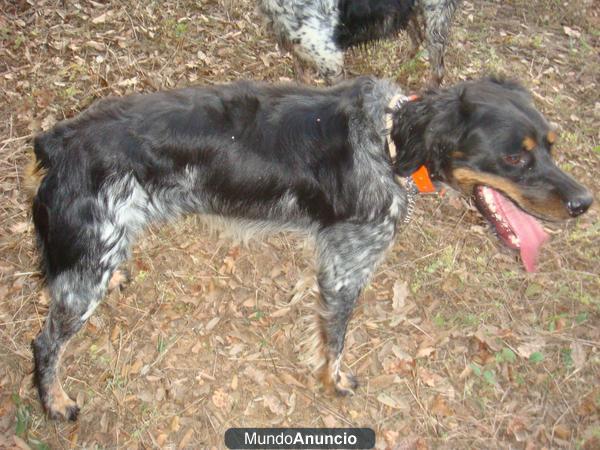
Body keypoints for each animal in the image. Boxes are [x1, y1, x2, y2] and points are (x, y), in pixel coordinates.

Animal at [28, 75, 592, 420]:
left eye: (550, 145)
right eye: (514, 157)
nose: (585, 202)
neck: (390, 141)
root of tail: (60, 140)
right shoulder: (346, 268)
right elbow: (336, 339)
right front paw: (333, 381)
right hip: (84, 273)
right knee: (45, 344)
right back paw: (55, 401)